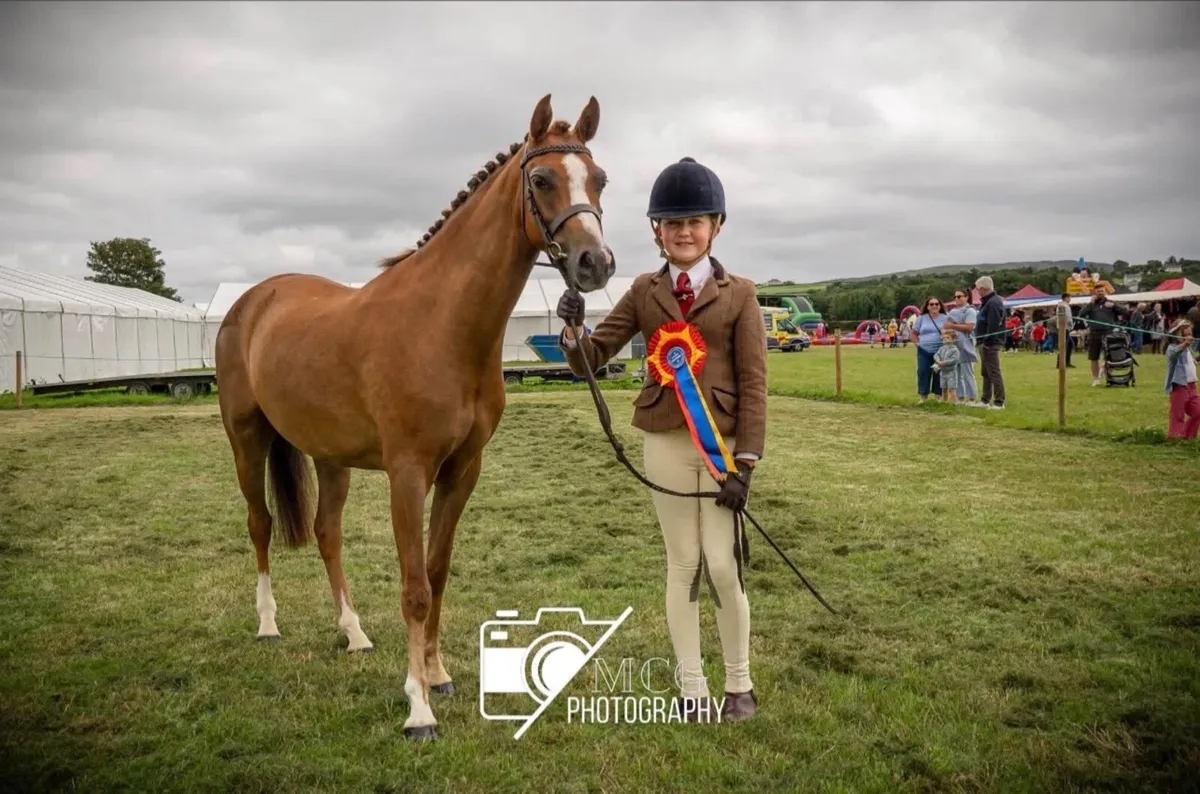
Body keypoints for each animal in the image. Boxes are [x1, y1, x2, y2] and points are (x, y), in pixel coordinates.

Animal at [214, 94, 614, 740]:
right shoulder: (408, 474)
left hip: (331, 458)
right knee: (260, 523)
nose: (594, 263)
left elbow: (438, 570)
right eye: (541, 179)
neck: (442, 323)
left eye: (599, 179)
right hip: (246, 439)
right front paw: (418, 707)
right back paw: (268, 624)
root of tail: (254, 300)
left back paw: (353, 632)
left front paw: (439, 674)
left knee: (327, 533)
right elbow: (414, 586)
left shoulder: (462, 471)